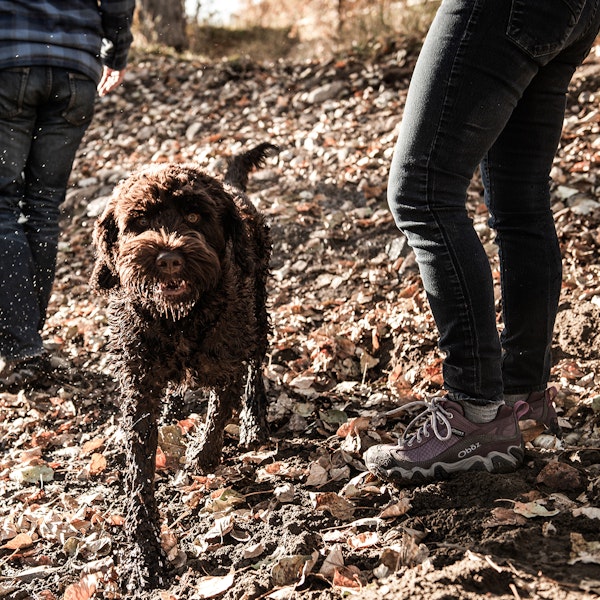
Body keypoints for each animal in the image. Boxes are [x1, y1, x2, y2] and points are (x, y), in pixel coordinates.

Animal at [90, 142, 278, 592]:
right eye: (139, 222)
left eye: (194, 217)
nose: (169, 259)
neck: (179, 320)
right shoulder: (139, 384)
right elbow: (139, 473)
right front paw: (145, 557)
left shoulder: (225, 358)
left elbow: (220, 409)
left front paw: (202, 457)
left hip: (257, 309)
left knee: (254, 365)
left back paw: (254, 420)